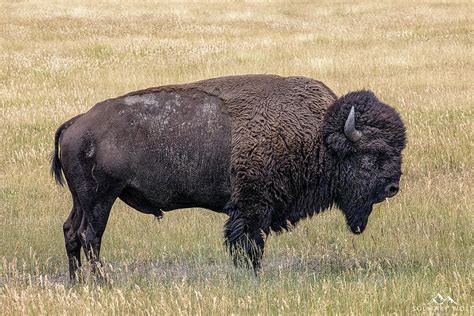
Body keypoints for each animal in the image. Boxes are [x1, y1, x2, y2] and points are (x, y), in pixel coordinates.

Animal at [52, 74, 408, 278]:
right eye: (373, 154)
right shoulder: (252, 207)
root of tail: (76, 123)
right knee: (90, 236)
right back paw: (102, 282)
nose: (392, 187)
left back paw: (77, 283)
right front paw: (252, 278)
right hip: (101, 198)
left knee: (71, 231)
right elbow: (249, 244)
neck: (317, 136)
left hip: (81, 199)